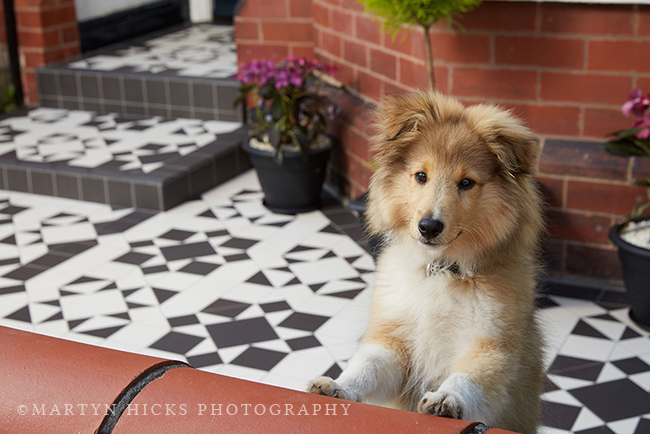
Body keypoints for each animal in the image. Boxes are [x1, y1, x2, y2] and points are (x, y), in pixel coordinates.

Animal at [306, 90, 544, 432]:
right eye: (421, 176)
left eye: (467, 183)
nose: (429, 227)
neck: (441, 271)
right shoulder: (394, 339)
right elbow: (367, 365)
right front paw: (337, 386)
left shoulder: (492, 346)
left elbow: (468, 378)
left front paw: (446, 399)